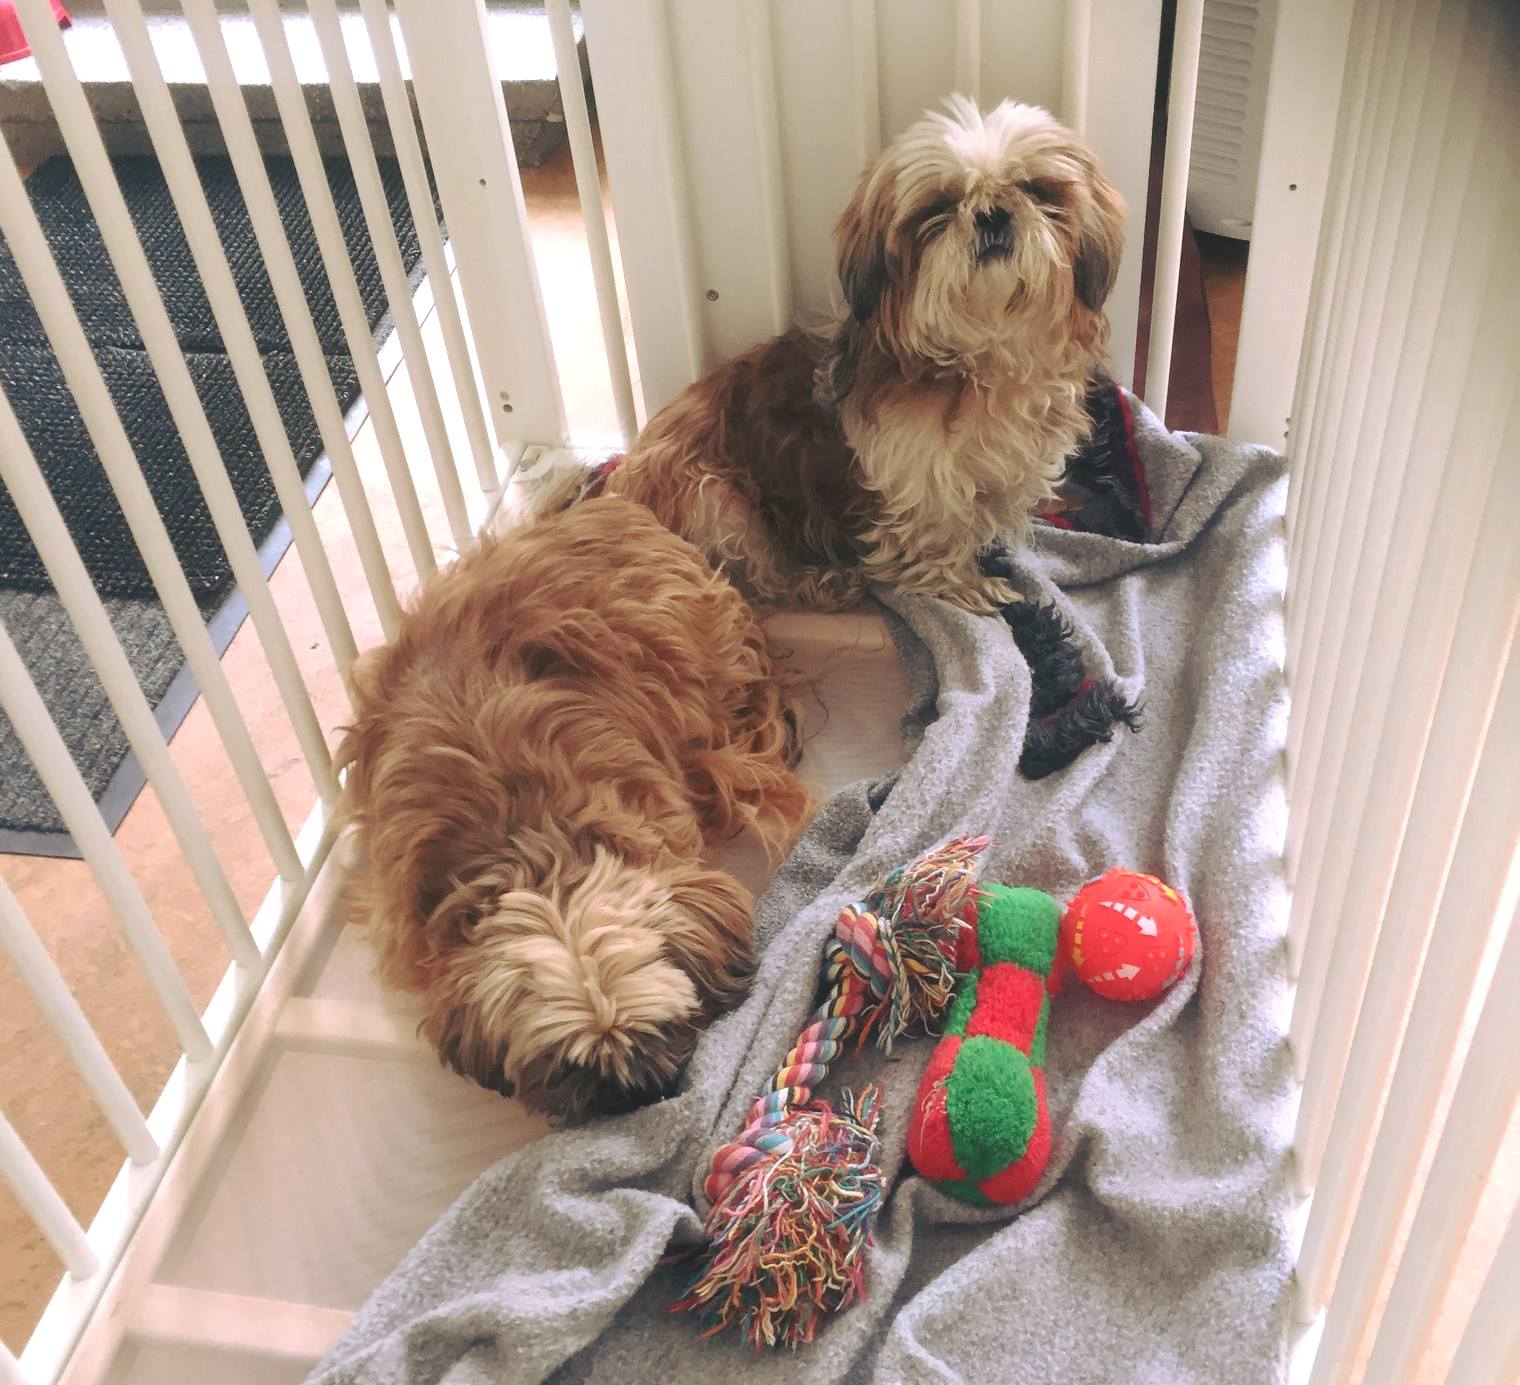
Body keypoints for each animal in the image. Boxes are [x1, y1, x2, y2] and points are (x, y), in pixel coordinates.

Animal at [592, 96, 1130, 611]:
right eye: (939, 207)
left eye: (1036, 191)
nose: (992, 213)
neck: (987, 352)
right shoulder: (921, 479)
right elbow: (937, 532)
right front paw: (962, 585)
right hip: (716, 501)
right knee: (754, 579)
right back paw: (822, 583)